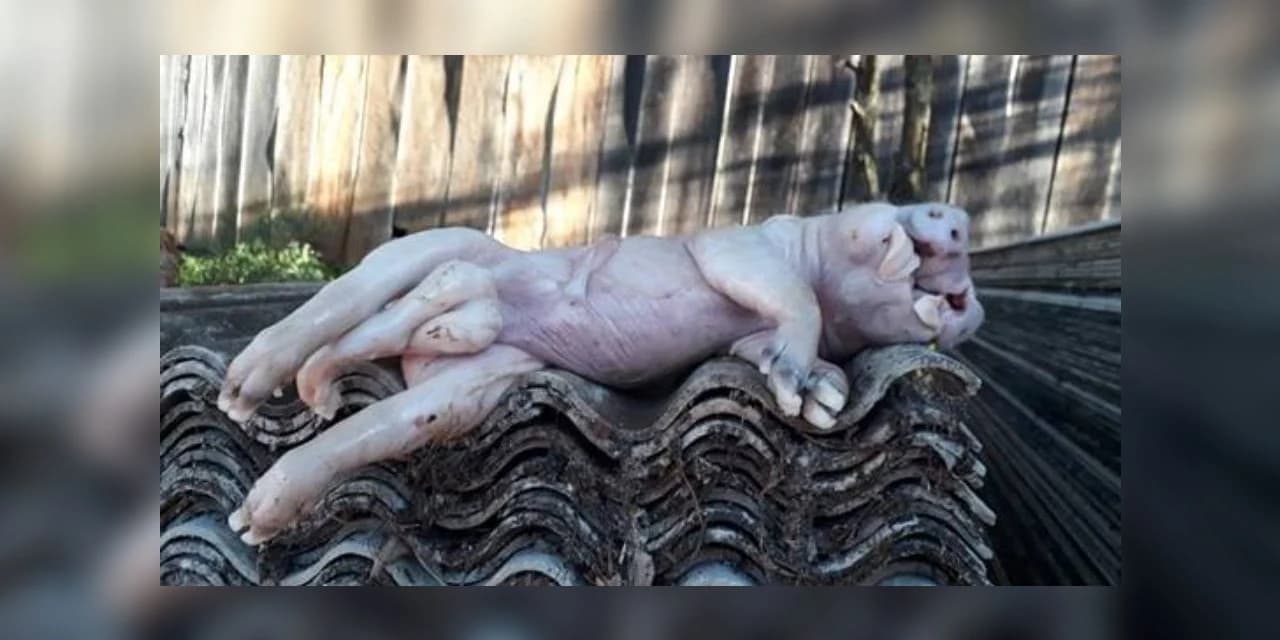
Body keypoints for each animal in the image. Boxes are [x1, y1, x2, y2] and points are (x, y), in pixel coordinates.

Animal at [220, 202, 983, 544]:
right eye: (901, 212)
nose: (960, 220)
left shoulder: (750, 339)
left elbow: (779, 350)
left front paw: (821, 399)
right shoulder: (737, 248)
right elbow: (785, 291)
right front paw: (807, 385)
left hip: (477, 383)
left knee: (389, 394)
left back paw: (261, 506)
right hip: (427, 253)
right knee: (353, 296)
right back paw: (241, 400)